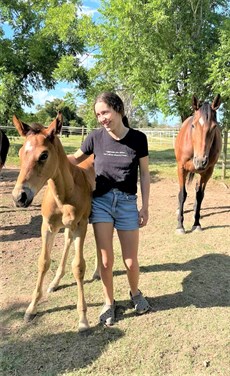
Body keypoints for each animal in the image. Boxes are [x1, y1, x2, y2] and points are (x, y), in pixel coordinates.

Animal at [11, 113, 96, 330]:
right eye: (21, 152)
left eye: (43, 155)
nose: (20, 197)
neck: (64, 194)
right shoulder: (47, 226)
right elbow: (43, 262)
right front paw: (31, 308)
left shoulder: (81, 225)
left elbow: (79, 267)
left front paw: (83, 319)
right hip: (67, 227)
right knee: (67, 240)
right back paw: (55, 282)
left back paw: (97, 273)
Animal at [175, 94, 222, 234]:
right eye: (193, 126)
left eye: (214, 127)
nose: (200, 161)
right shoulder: (181, 168)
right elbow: (182, 194)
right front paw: (180, 225)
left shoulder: (207, 172)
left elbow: (200, 195)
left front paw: (196, 224)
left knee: (197, 190)